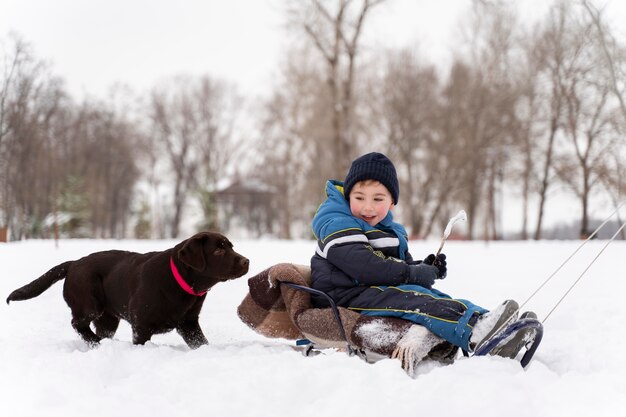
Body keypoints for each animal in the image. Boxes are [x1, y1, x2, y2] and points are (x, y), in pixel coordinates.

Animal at [6, 231, 249, 348]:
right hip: (89, 302)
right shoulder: (141, 326)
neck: (180, 281)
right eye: (218, 251)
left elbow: (201, 343)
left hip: (107, 319)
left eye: (231, 247)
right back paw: (95, 343)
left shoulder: (188, 324)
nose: (247, 261)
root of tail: (73, 263)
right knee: (77, 323)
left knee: (96, 328)